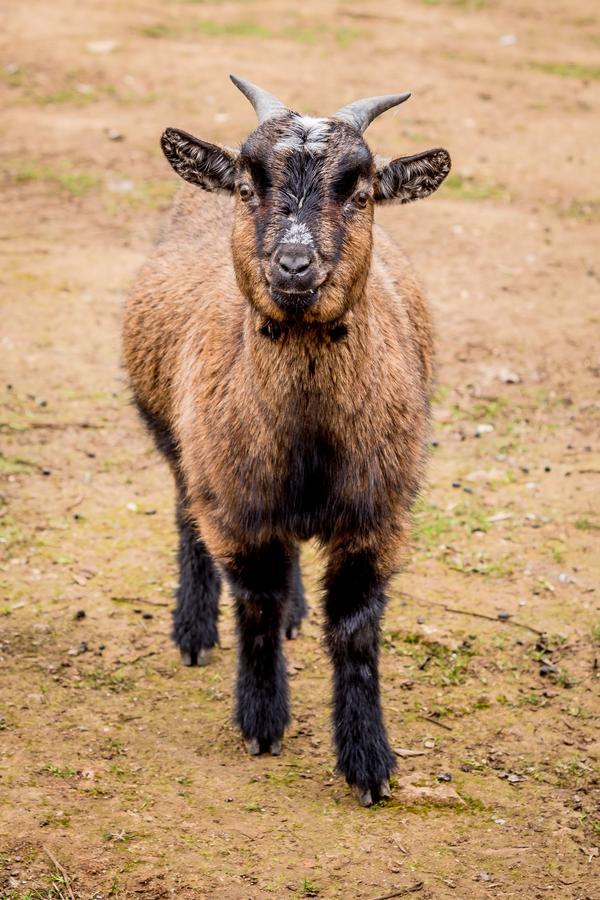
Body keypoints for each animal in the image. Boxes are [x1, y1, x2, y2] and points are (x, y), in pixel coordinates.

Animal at [122, 77, 450, 804]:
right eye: (249, 189)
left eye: (361, 194)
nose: (295, 266)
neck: (307, 439)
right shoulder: (234, 505)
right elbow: (256, 605)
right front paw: (261, 722)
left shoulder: (377, 515)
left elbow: (354, 629)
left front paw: (368, 761)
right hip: (185, 448)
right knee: (186, 518)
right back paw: (193, 631)